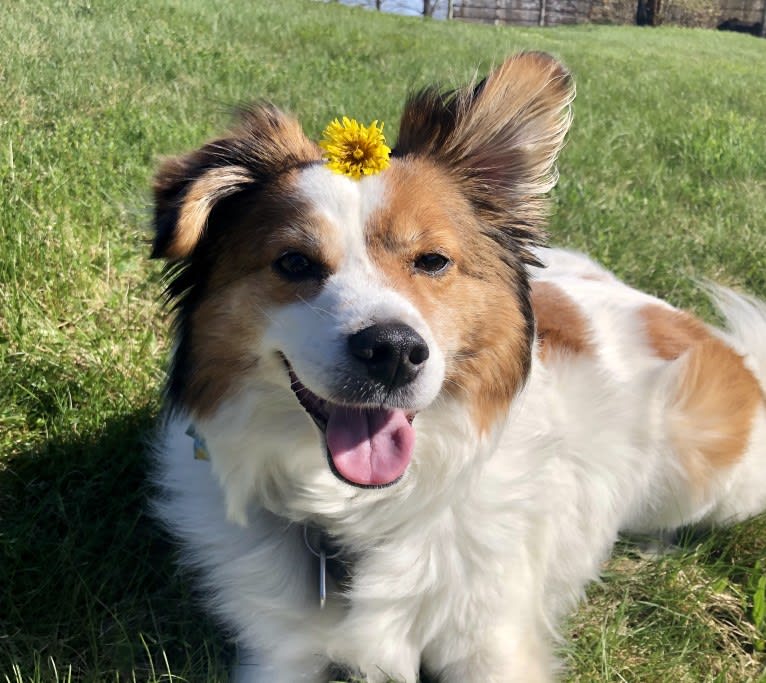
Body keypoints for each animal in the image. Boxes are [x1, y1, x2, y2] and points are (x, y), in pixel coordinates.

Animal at [150, 54, 766, 683]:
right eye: (294, 262)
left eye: (433, 261)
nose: (393, 351)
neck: (364, 511)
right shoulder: (279, 653)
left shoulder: (496, 646)